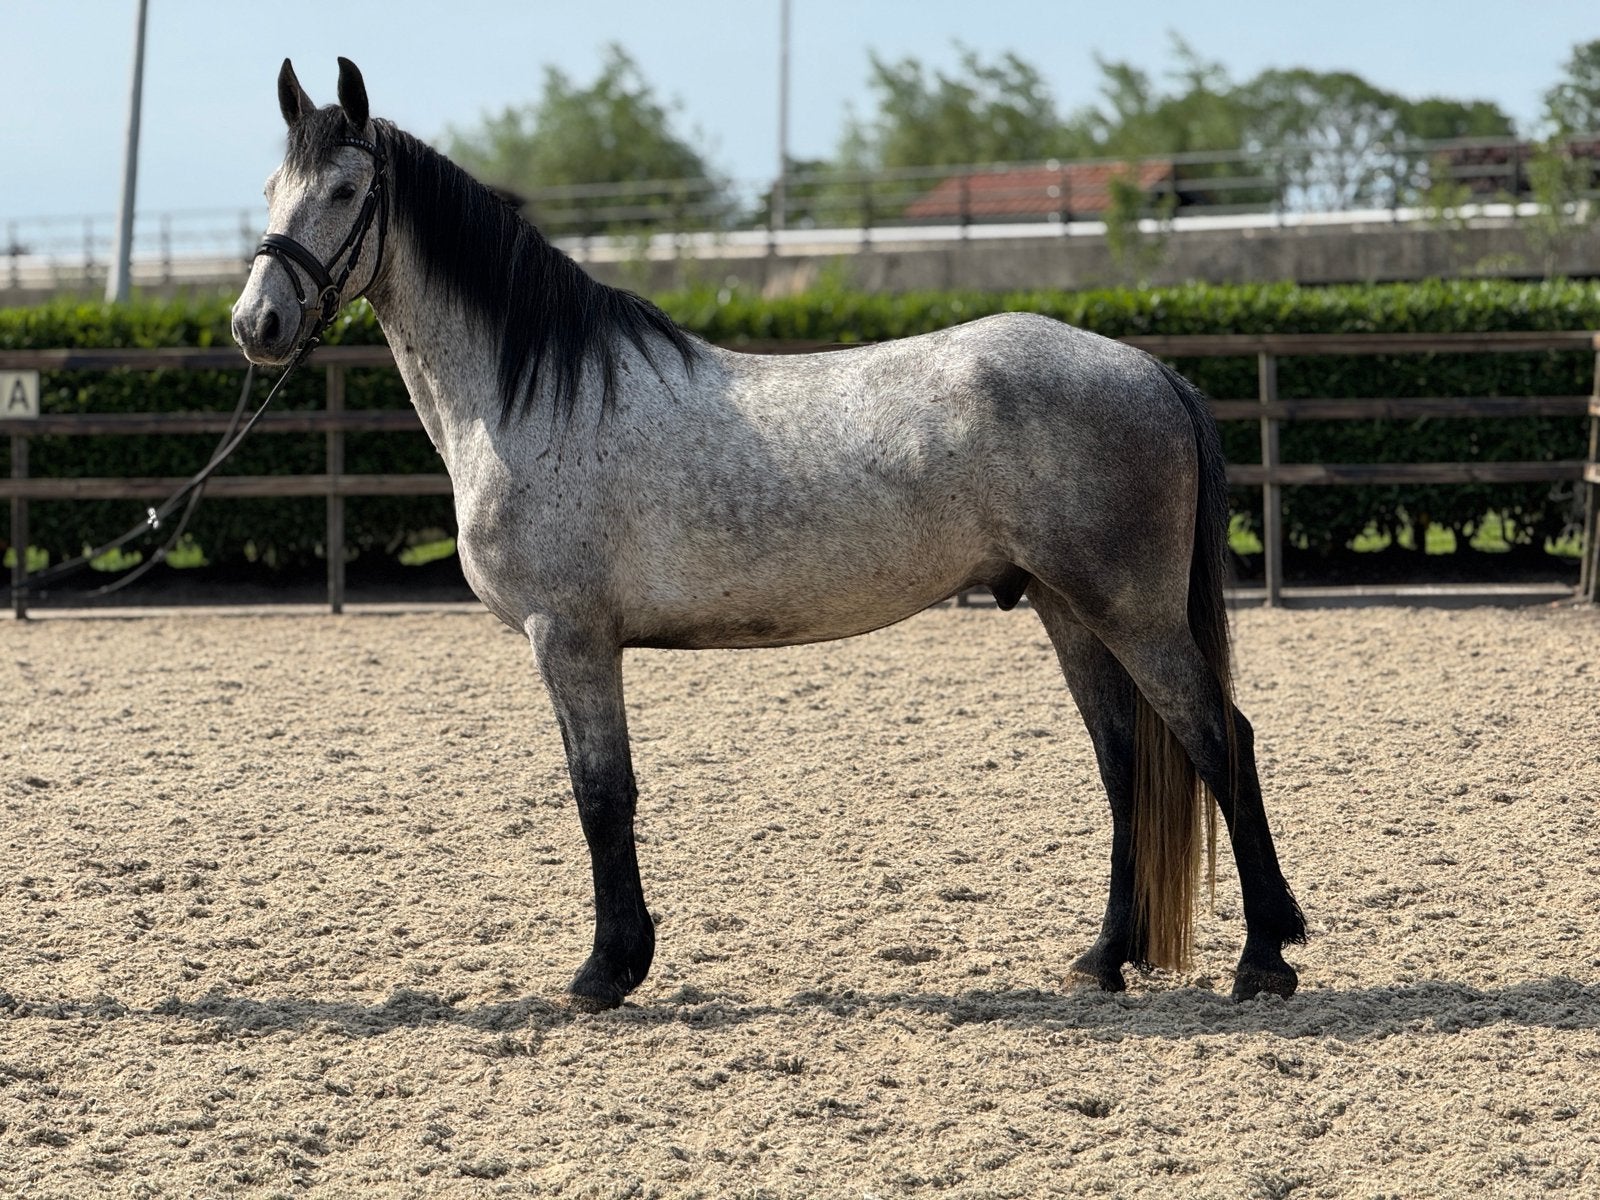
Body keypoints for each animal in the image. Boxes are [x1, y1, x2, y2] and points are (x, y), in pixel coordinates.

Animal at [232, 58, 1306, 1011]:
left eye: (345, 189)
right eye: (271, 188)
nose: (257, 324)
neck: (532, 395)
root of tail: (1150, 371)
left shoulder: (568, 638)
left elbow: (601, 795)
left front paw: (607, 971)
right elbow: (602, 794)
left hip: (1132, 611)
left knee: (1220, 739)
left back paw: (1264, 958)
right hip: (1067, 608)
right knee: (1125, 763)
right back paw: (1103, 959)